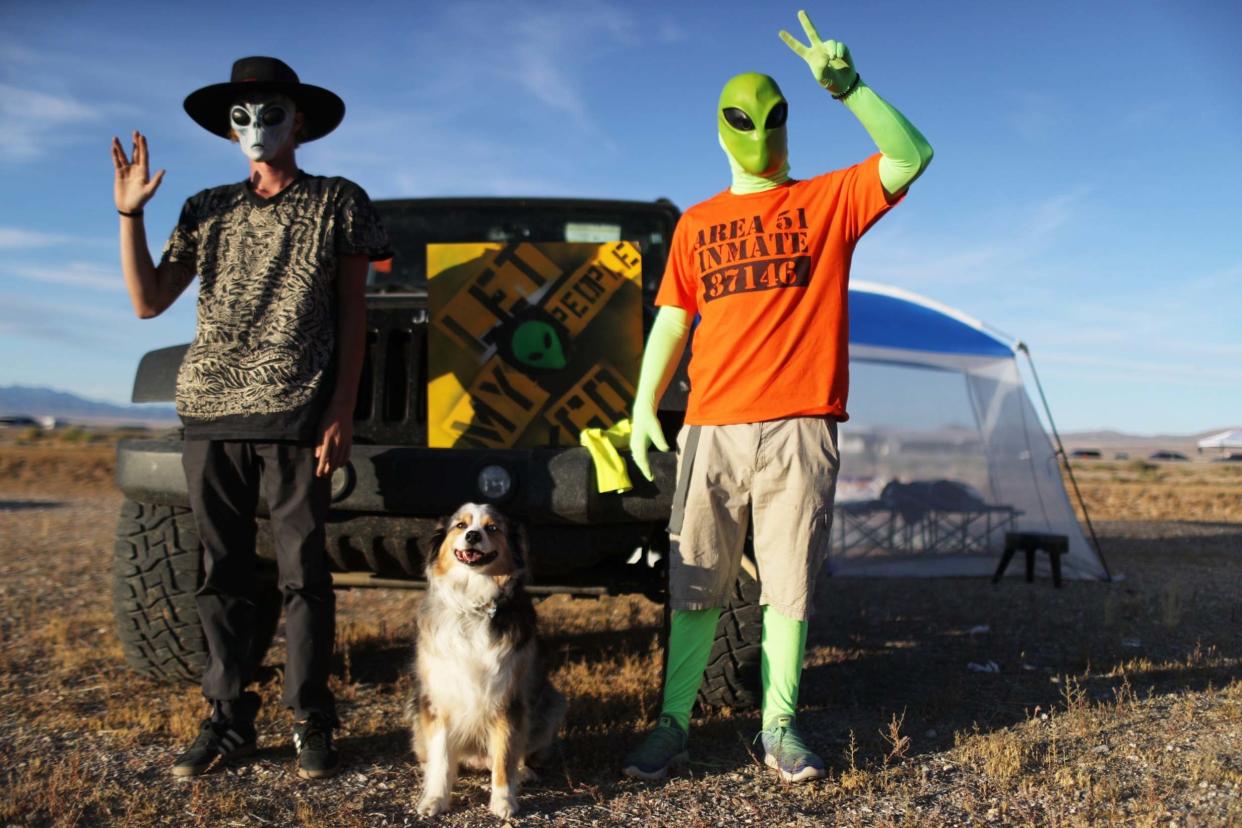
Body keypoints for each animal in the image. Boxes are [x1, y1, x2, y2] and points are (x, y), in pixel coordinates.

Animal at [404, 501, 566, 819]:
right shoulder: (438, 698)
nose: (473, 536)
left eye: (492, 528)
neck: (473, 604)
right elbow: (442, 758)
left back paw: (522, 771)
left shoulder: (507, 698)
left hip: (551, 703)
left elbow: (504, 755)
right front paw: (435, 799)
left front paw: (503, 801)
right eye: (460, 525)